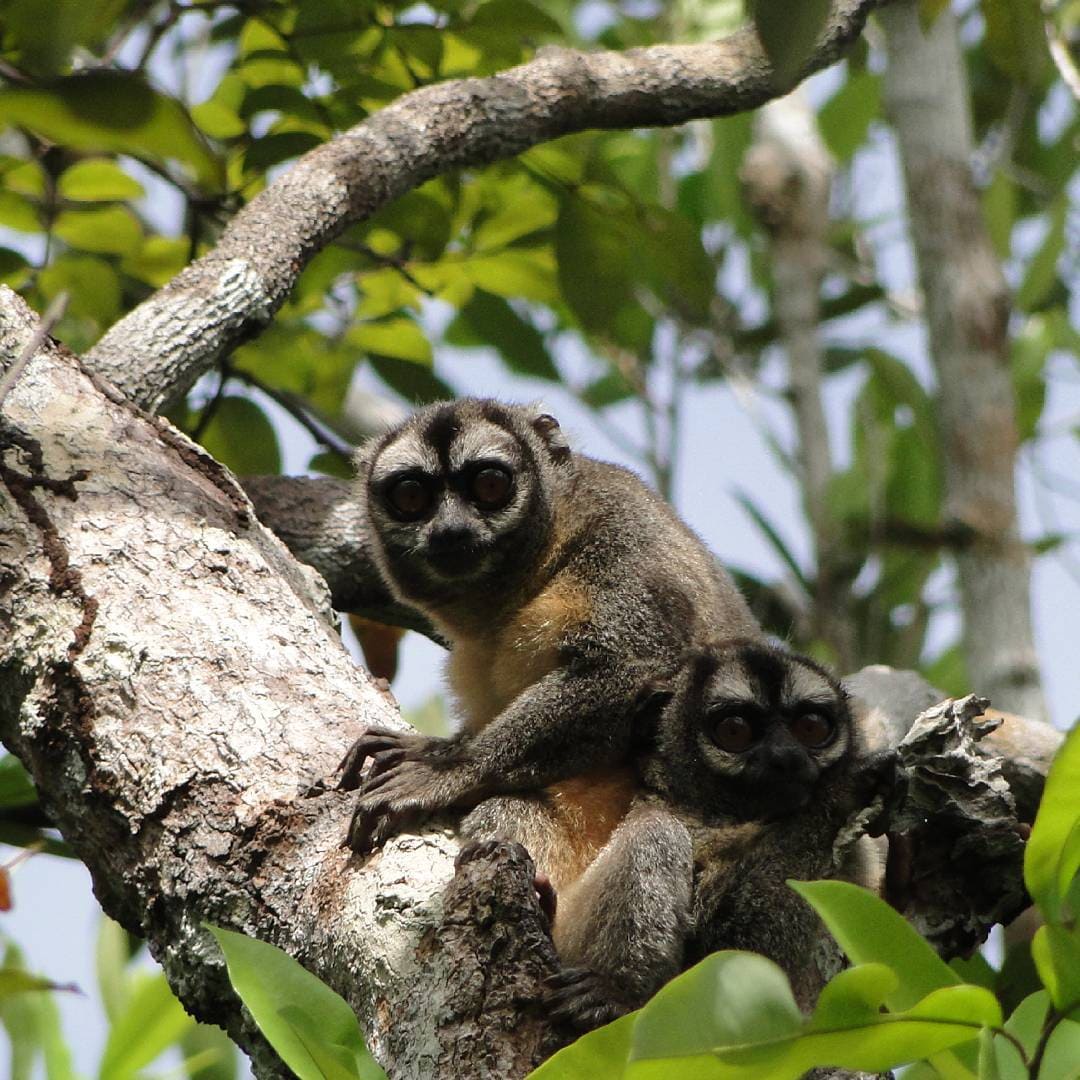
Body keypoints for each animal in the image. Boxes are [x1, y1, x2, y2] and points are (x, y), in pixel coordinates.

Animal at [334, 399, 760, 902]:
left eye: (490, 484)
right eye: (410, 496)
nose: (451, 530)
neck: (548, 554)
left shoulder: (624, 541)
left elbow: (628, 666)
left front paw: (447, 770)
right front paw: (429, 747)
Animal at [548, 639, 894, 1028]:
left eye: (811, 727)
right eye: (734, 731)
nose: (786, 756)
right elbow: (728, 946)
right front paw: (846, 789)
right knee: (656, 831)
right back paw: (613, 994)